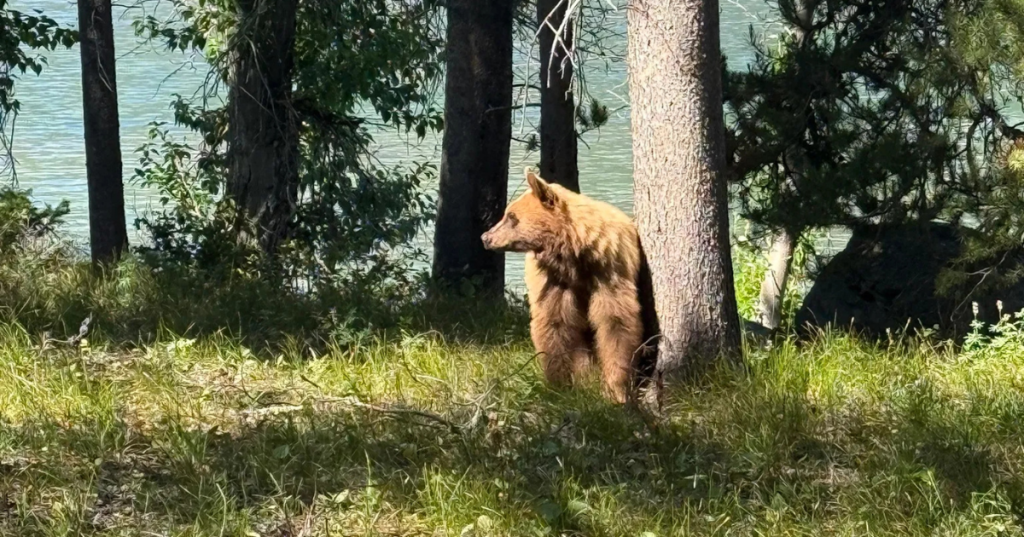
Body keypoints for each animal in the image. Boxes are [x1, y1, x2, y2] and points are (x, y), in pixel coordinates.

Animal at [481, 168, 654, 403]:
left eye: (511, 216)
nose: (486, 237)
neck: (571, 253)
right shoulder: (552, 280)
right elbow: (554, 323)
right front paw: (559, 385)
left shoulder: (610, 270)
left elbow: (616, 323)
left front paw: (615, 390)